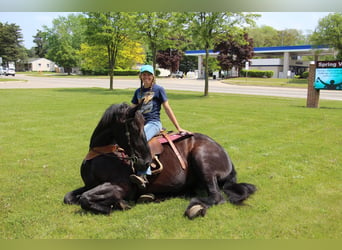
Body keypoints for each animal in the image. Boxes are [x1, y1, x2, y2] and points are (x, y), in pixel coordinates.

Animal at [64, 102, 256, 220]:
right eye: (133, 128)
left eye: (143, 126)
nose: (146, 161)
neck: (102, 153)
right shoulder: (89, 185)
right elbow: (69, 197)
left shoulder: (120, 187)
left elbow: (85, 199)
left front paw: (117, 205)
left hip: (202, 159)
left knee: (217, 197)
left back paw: (194, 207)